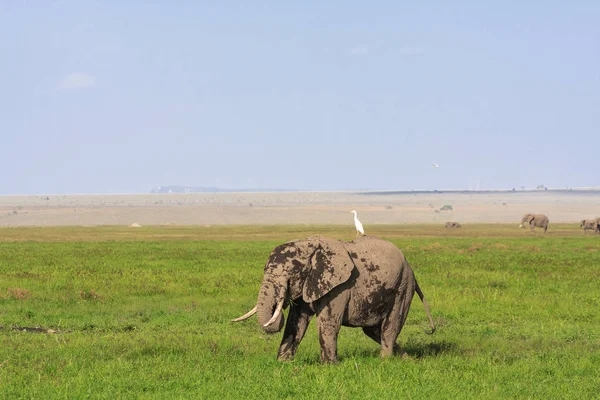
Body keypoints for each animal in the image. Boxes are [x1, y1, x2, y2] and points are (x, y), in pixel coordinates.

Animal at [232, 234, 434, 362]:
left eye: (290, 274)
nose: (279, 305)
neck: (309, 245)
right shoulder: (311, 282)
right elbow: (295, 322)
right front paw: (283, 363)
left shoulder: (339, 286)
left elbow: (328, 321)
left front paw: (329, 366)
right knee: (372, 330)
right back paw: (406, 358)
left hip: (403, 285)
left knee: (390, 326)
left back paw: (384, 360)